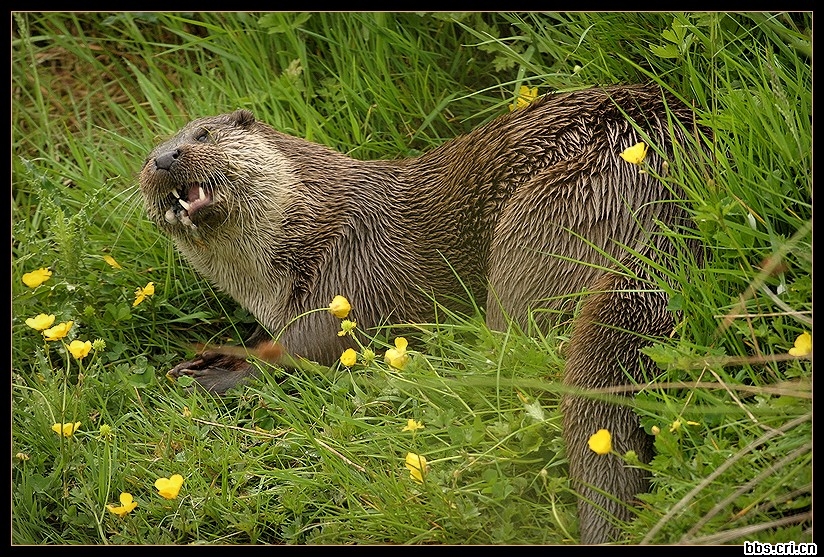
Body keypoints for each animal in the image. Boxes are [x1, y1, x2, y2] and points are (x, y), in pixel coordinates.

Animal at [139, 84, 703, 544]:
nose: (164, 158)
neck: (307, 231)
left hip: (544, 214)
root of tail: (675, 186)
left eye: (204, 134)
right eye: (147, 158)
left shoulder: (352, 274)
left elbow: (309, 351)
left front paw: (209, 374)